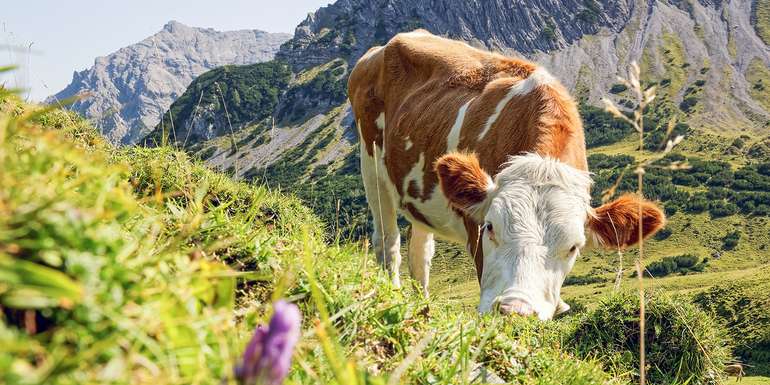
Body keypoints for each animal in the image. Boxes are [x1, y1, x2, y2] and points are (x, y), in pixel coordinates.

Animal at [344, 29, 664, 318]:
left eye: (574, 247)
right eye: (490, 227)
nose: (514, 309)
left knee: (420, 253)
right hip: (370, 164)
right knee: (388, 243)